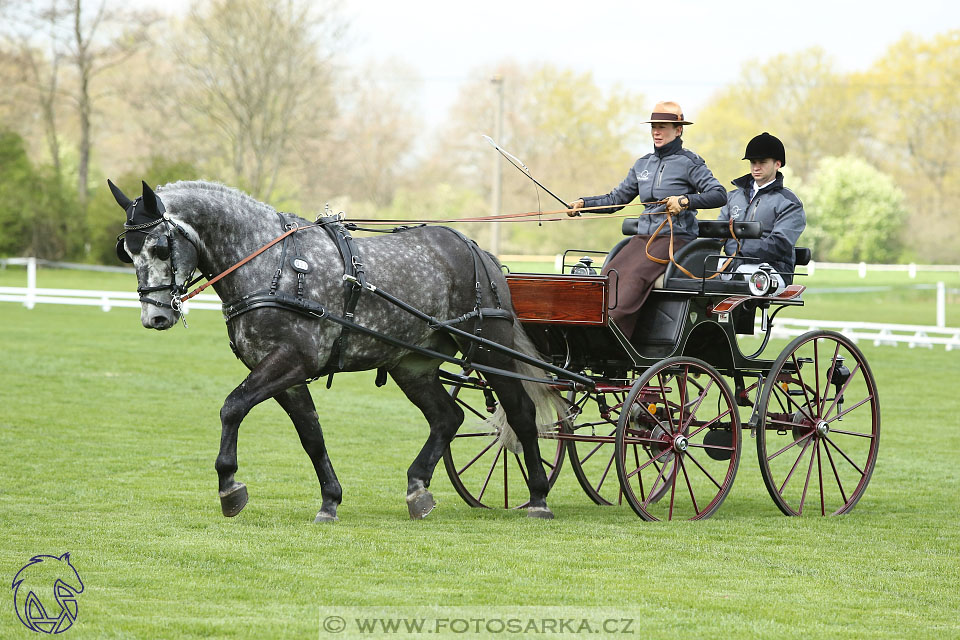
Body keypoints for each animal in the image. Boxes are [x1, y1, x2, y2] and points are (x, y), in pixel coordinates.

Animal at [110, 179, 564, 520]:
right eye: (127, 252)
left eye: (160, 248)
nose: (154, 317)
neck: (272, 266)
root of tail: (477, 250)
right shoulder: (285, 373)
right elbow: (311, 435)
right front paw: (330, 499)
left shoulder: (290, 361)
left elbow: (232, 407)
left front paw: (229, 486)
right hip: (412, 364)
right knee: (446, 417)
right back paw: (418, 489)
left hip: (490, 349)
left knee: (521, 413)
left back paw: (539, 497)